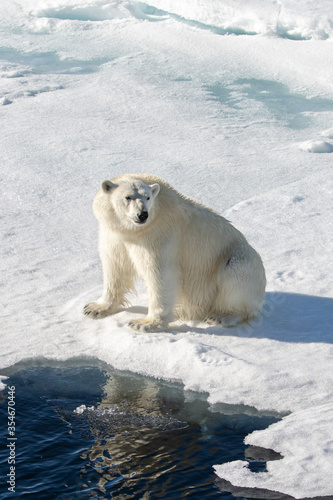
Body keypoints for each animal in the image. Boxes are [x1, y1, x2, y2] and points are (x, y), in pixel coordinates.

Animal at [83, 174, 264, 334]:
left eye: (147, 197)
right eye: (128, 197)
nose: (142, 214)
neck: (134, 232)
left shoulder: (159, 237)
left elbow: (160, 275)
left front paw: (144, 323)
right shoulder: (115, 236)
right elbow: (115, 267)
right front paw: (94, 308)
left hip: (239, 259)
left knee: (236, 275)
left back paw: (222, 316)